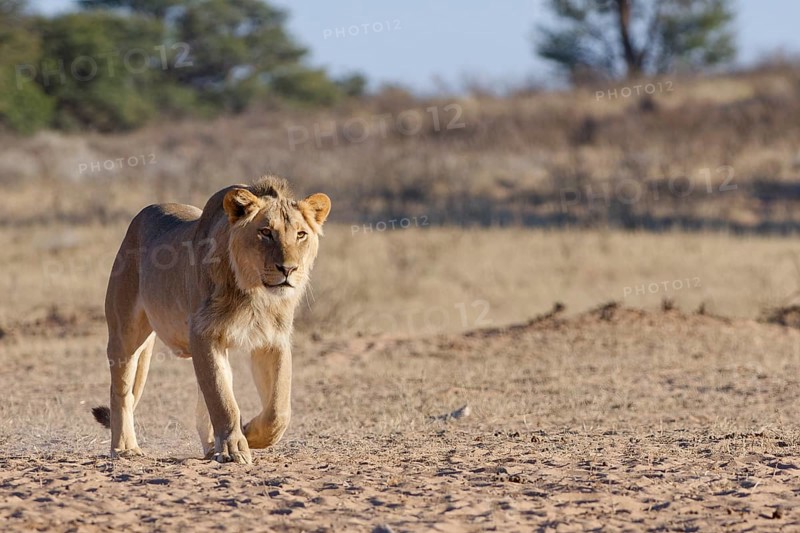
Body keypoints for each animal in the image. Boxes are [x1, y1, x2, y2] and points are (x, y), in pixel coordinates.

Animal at [91, 175, 330, 464]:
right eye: (265, 232)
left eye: (301, 234)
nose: (289, 269)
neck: (254, 293)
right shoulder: (204, 334)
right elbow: (221, 399)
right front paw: (234, 447)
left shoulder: (272, 340)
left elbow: (277, 410)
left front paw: (248, 433)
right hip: (124, 334)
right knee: (121, 393)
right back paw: (123, 448)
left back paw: (209, 447)